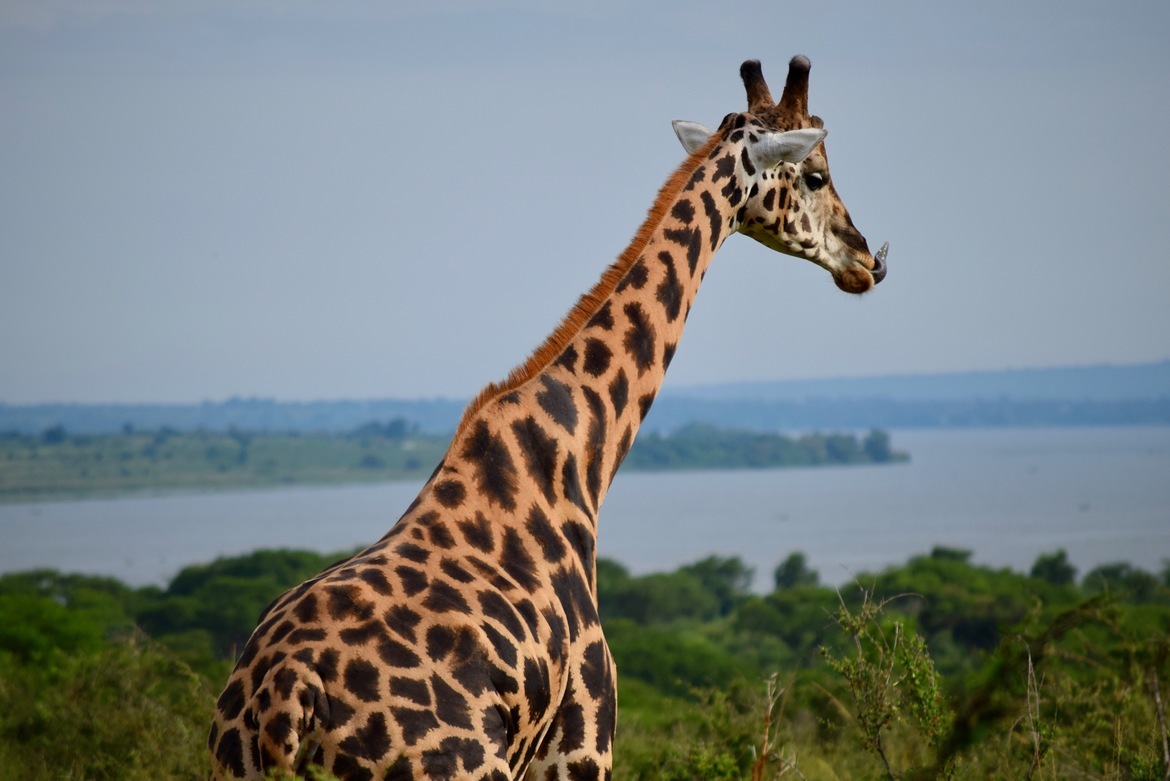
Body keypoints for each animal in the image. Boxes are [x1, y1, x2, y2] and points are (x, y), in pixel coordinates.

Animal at [208, 55, 885, 781]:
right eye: (815, 175)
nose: (867, 260)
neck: (581, 455)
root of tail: (284, 702)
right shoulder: (582, 740)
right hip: (463, 765)